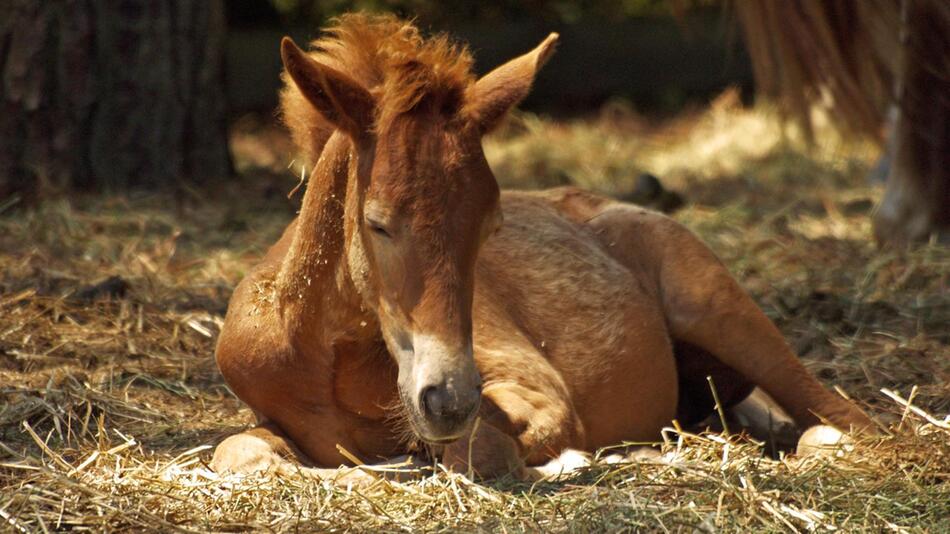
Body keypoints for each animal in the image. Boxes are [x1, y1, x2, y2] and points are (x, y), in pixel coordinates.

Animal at [212, 13, 872, 482]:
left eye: (491, 224)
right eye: (377, 223)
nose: (448, 400)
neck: (326, 356)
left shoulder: (537, 391)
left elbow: (479, 451)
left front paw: (567, 460)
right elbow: (237, 453)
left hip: (719, 309)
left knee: (846, 418)